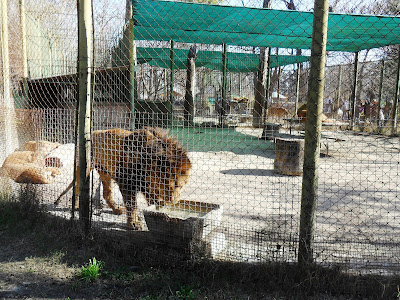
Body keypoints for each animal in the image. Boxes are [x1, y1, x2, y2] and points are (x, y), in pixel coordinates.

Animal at [55, 127, 191, 230]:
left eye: (181, 186)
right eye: (175, 185)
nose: (174, 201)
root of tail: (92, 133)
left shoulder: (145, 185)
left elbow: (150, 199)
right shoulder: (126, 182)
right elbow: (132, 205)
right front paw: (134, 223)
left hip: (105, 172)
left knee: (106, 194)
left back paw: (117, 209)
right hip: (85, 167)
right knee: (77, 187)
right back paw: (77, 206)